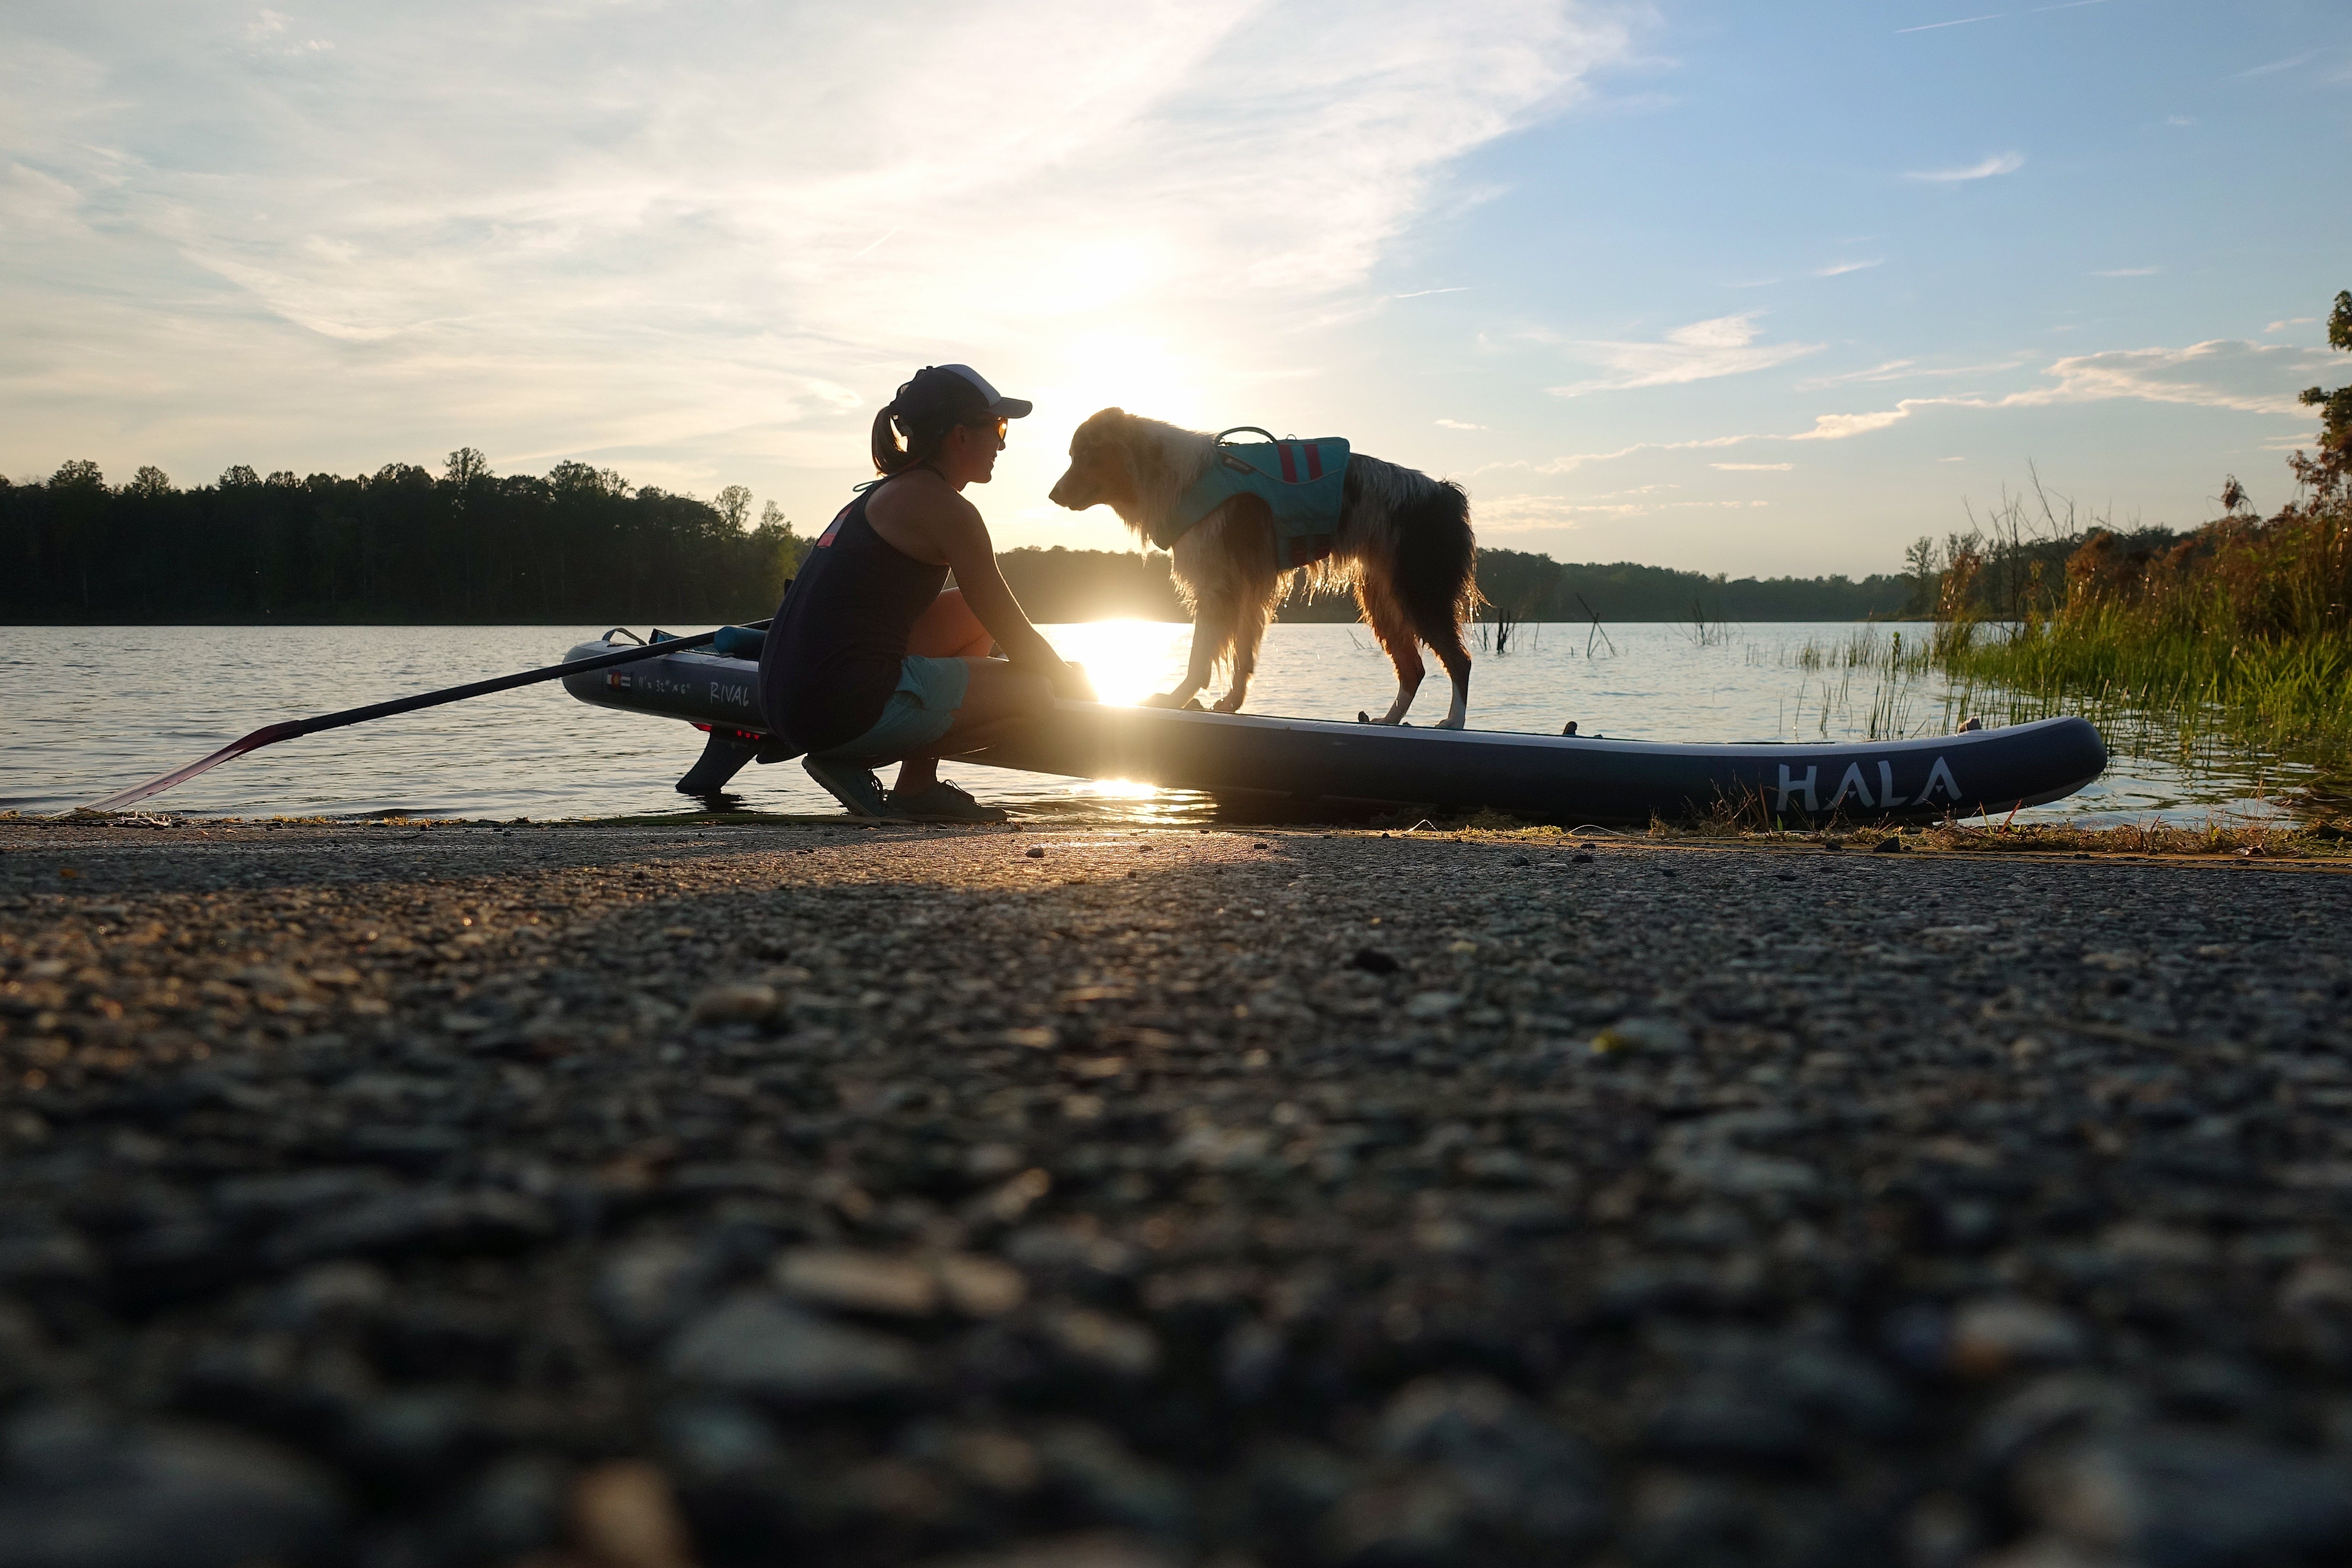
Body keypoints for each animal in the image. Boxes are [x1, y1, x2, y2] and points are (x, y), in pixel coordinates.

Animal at [1044, 404, 1468, 724]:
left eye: (1086, 456)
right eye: (1073, 456)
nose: (1052, 495)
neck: (1170, 474)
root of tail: (1444, 493)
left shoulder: (1217, 586)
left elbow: (1200, 659)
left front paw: (1175, 698)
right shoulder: (1245, 586)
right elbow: (1241, 655)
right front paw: (1231, 703)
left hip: (1419, 592)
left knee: (1459, 661)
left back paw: (1454, 722)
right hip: (1380, 597)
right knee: (1413, 667)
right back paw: (1390, 719)